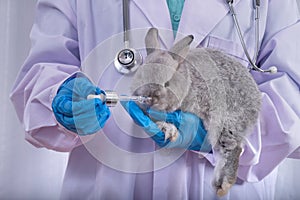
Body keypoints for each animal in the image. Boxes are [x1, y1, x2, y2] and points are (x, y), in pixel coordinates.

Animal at [130, 28, 262, 197]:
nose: (151, 97)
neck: (187, 83)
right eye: (141, 75)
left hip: (227, 124)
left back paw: (222, 185)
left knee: (233, 149)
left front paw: (169, 130)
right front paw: (166, 129)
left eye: (167, 83)